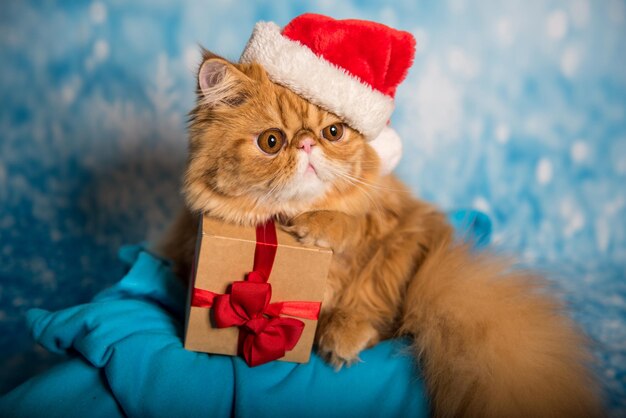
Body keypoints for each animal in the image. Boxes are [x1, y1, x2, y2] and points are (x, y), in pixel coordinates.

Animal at [158, 50, 604, 416]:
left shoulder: (399, 228)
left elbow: (357, 242)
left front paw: (320, 230)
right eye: (271, 141)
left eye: (332, 133)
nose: (307, 145)